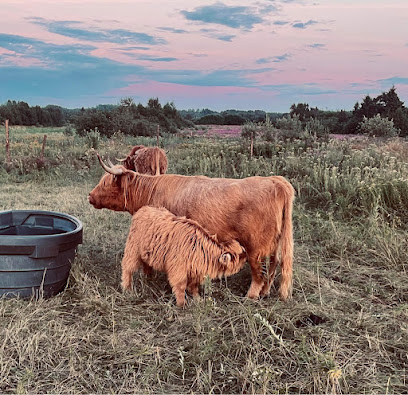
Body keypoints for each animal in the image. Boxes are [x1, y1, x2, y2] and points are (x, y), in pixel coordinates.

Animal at [88, 156, 294, 302]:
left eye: (105, 183)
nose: (90, 195)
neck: (149, 192)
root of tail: (275, 181)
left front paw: (149, 278)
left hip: (255, 248)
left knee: (259, 274)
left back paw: (250, 297)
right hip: (273, 245)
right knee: (274, 266)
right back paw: (265, 292)